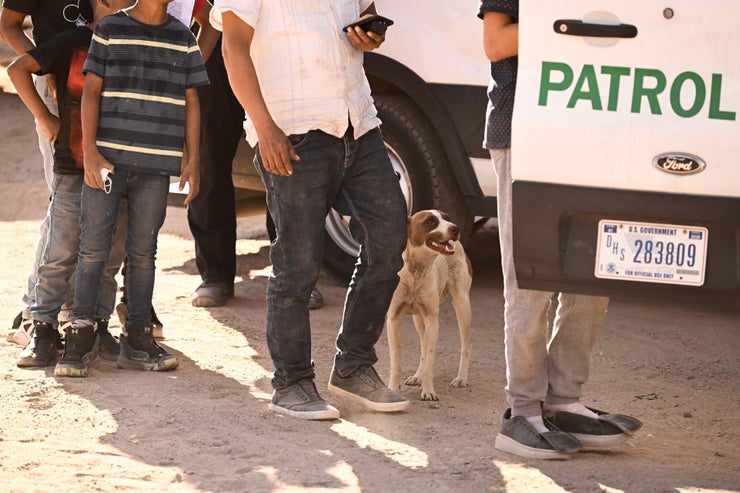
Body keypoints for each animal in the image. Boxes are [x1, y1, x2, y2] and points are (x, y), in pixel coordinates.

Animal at [388, 209, 474, 400]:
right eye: (430, 221)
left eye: (447, 218)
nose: (455, 228)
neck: (416, 271)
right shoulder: (393, 320)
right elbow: (396, 361)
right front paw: (393, 389)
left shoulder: (432, 320)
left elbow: (430, 359)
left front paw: (428, 391)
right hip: (418, 319)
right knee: (423, 346)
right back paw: (417, 376)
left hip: (462, 305)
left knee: (466, 345)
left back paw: (461, 378)